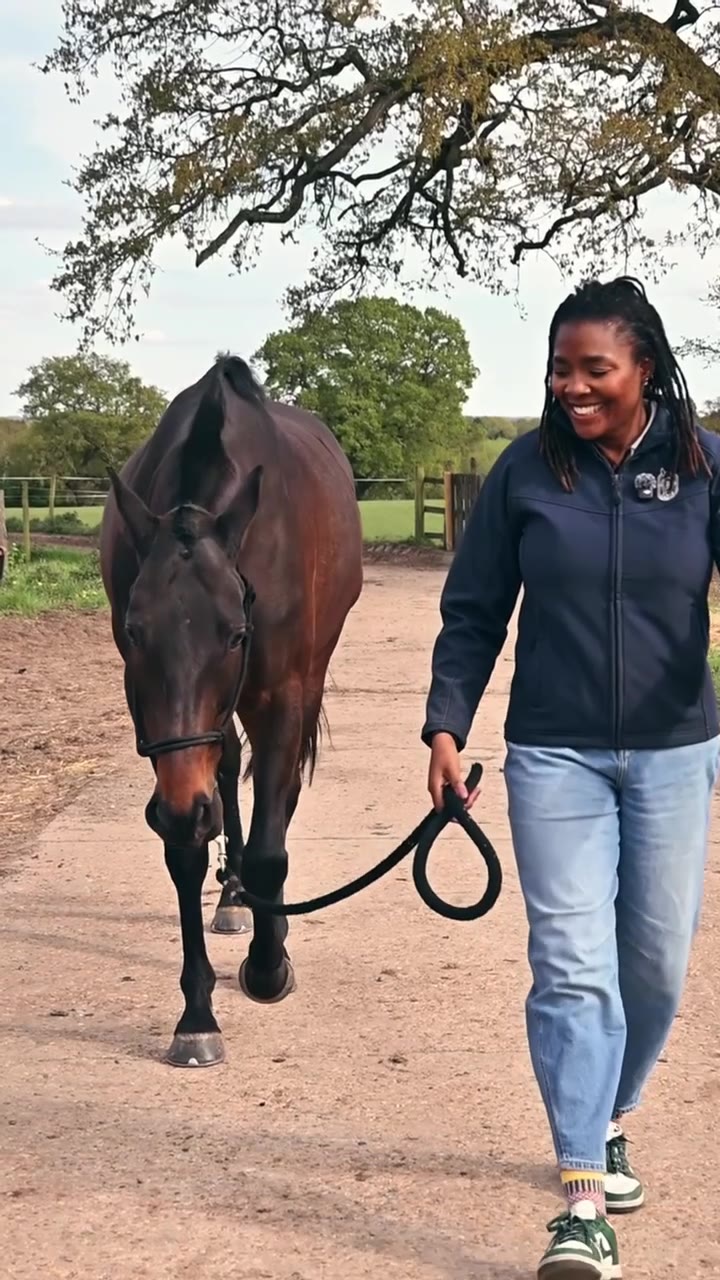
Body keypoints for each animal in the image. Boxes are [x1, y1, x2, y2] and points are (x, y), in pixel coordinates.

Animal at [100, 355, 363, 1067]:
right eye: (134, 630)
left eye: (236, 633)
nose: (182, 804)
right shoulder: (157, 721)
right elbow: (185, 847)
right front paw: (197, 1016)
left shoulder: (283, 693)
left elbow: (274, 843)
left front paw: (269, 966)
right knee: (225, 773)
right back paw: (232, 893)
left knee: (281, 794)